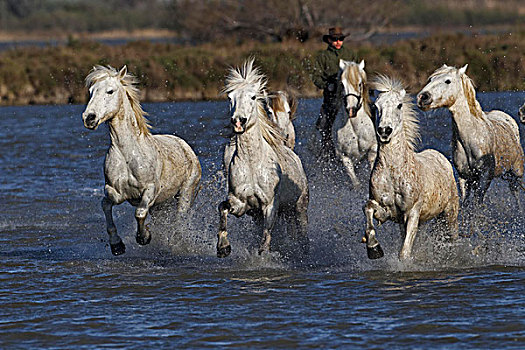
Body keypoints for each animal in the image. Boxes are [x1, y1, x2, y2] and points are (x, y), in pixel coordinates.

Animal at [81, 65, 201, 254]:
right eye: (91, 91)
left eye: (110, 91)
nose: (89, 118)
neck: (128, 154)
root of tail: (185, 147)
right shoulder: (114, 191)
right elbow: (106, 204)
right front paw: (117, 245)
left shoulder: (150, 190)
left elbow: (140, 212)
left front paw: (144, 237)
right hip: (161, 205)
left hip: (185, 194)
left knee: (179, 219)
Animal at [216, 59, 310, 258]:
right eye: (230, 98)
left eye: (252, 97)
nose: (238, 121)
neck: (253, 164)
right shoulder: (241, 203)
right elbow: (222, 208)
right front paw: (223, 247)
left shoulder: (270, 205)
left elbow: (265, 239)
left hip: (299, 209)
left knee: (302, 234)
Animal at [334, 58, 374, 187]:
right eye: (342, 84)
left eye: (360, 84)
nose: (351, 110)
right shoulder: (344, 156)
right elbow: (355, 182)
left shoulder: (373, 149)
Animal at [360, 74, 458, 260]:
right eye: (376, 106)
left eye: (399, 105)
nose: (384, 131)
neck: (394, 173)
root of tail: (441, 158)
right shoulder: (387, 212)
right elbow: (367, 208)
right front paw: (374, 248)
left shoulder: (412, 212)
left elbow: (404, 253)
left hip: (450, 212)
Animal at [416, 63, 520, 205]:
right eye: (430, 79)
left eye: (447, 81)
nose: (423, 97)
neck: (472, 138)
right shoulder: (464, 177)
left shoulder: (484, 177)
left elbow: (477, 203)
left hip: (515, 174)